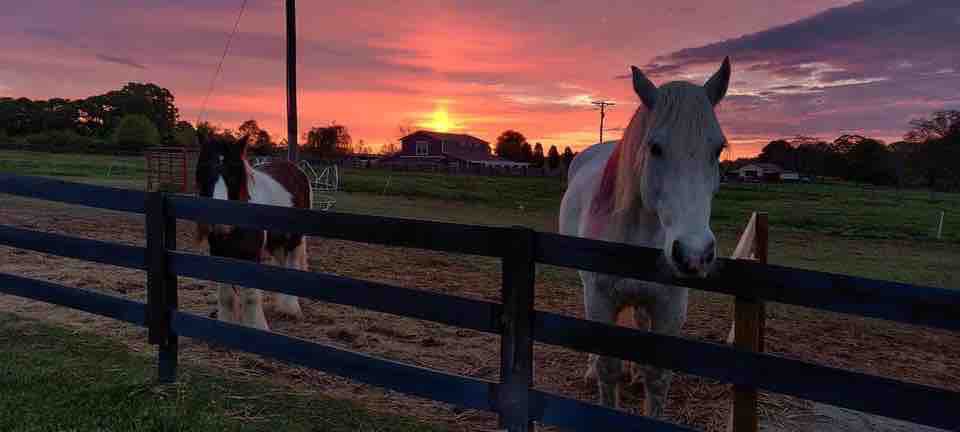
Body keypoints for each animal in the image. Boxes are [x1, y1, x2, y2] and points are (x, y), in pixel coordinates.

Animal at [195, 135, 312, 330]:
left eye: (234, 173)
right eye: (204, 170)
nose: (219, 222)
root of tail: (295, 169)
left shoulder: (251, 256)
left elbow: (250, 297)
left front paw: (258, 327)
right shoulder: (220, 253)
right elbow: (226, 296)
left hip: (294, 240)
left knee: (292, 264)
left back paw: (291, 310)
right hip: (275, 241)